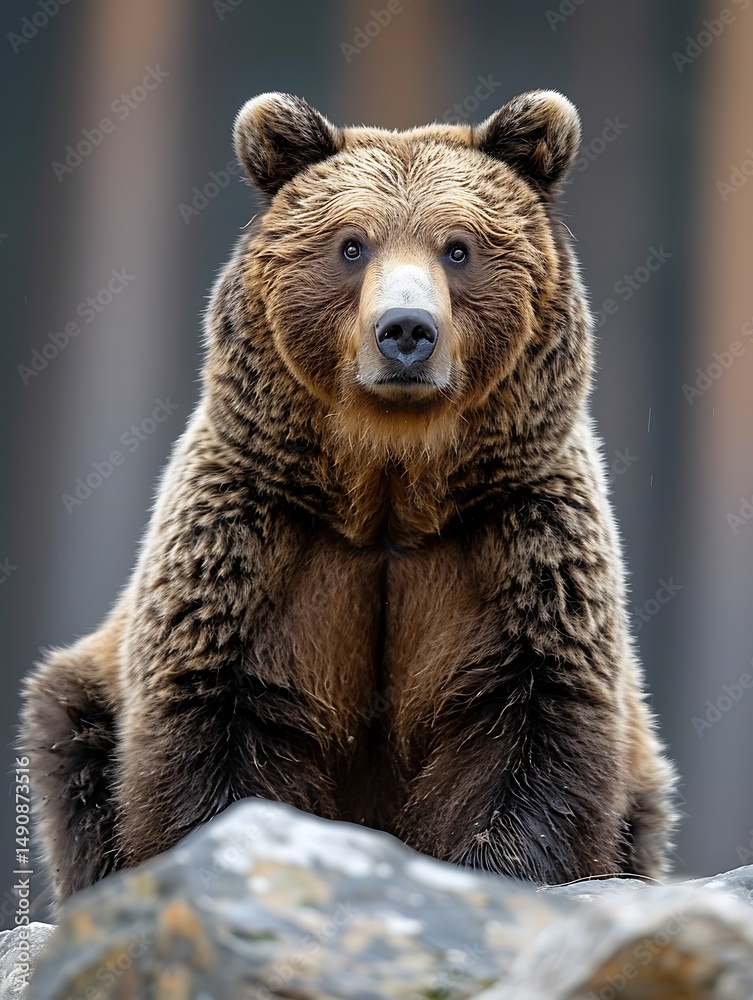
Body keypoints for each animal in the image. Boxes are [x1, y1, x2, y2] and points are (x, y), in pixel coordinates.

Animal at [22, 89, 677, 905]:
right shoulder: (255, 540)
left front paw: (496, 872)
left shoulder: (518, 539)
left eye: (458, 248)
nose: (406, 331)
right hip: (84, 698)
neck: (388, 492)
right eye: (351, 245)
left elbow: (525, 730)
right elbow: (217, 724)